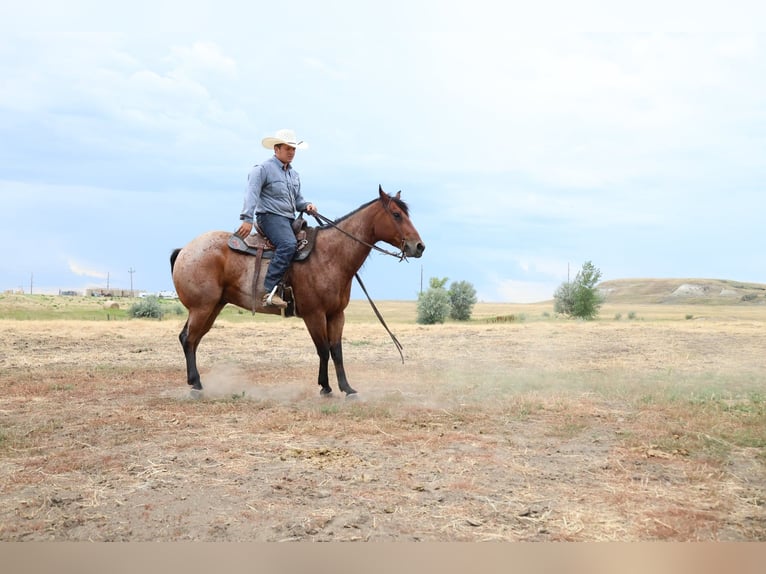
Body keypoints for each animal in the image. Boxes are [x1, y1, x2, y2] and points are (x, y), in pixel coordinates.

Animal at [170, 186, 425, 397]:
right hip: (202, 308)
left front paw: (347, 388)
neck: (330, 255)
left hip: (212, 307)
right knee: (189, 339)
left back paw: (196, 382)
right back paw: (196, 385)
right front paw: (325, 387)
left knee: (192, 339)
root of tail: (185, 249)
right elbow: (323, 350)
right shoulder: (314, 314)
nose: (419, 246)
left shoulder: (336, 314)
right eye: (396, 214)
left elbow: (336, 351)